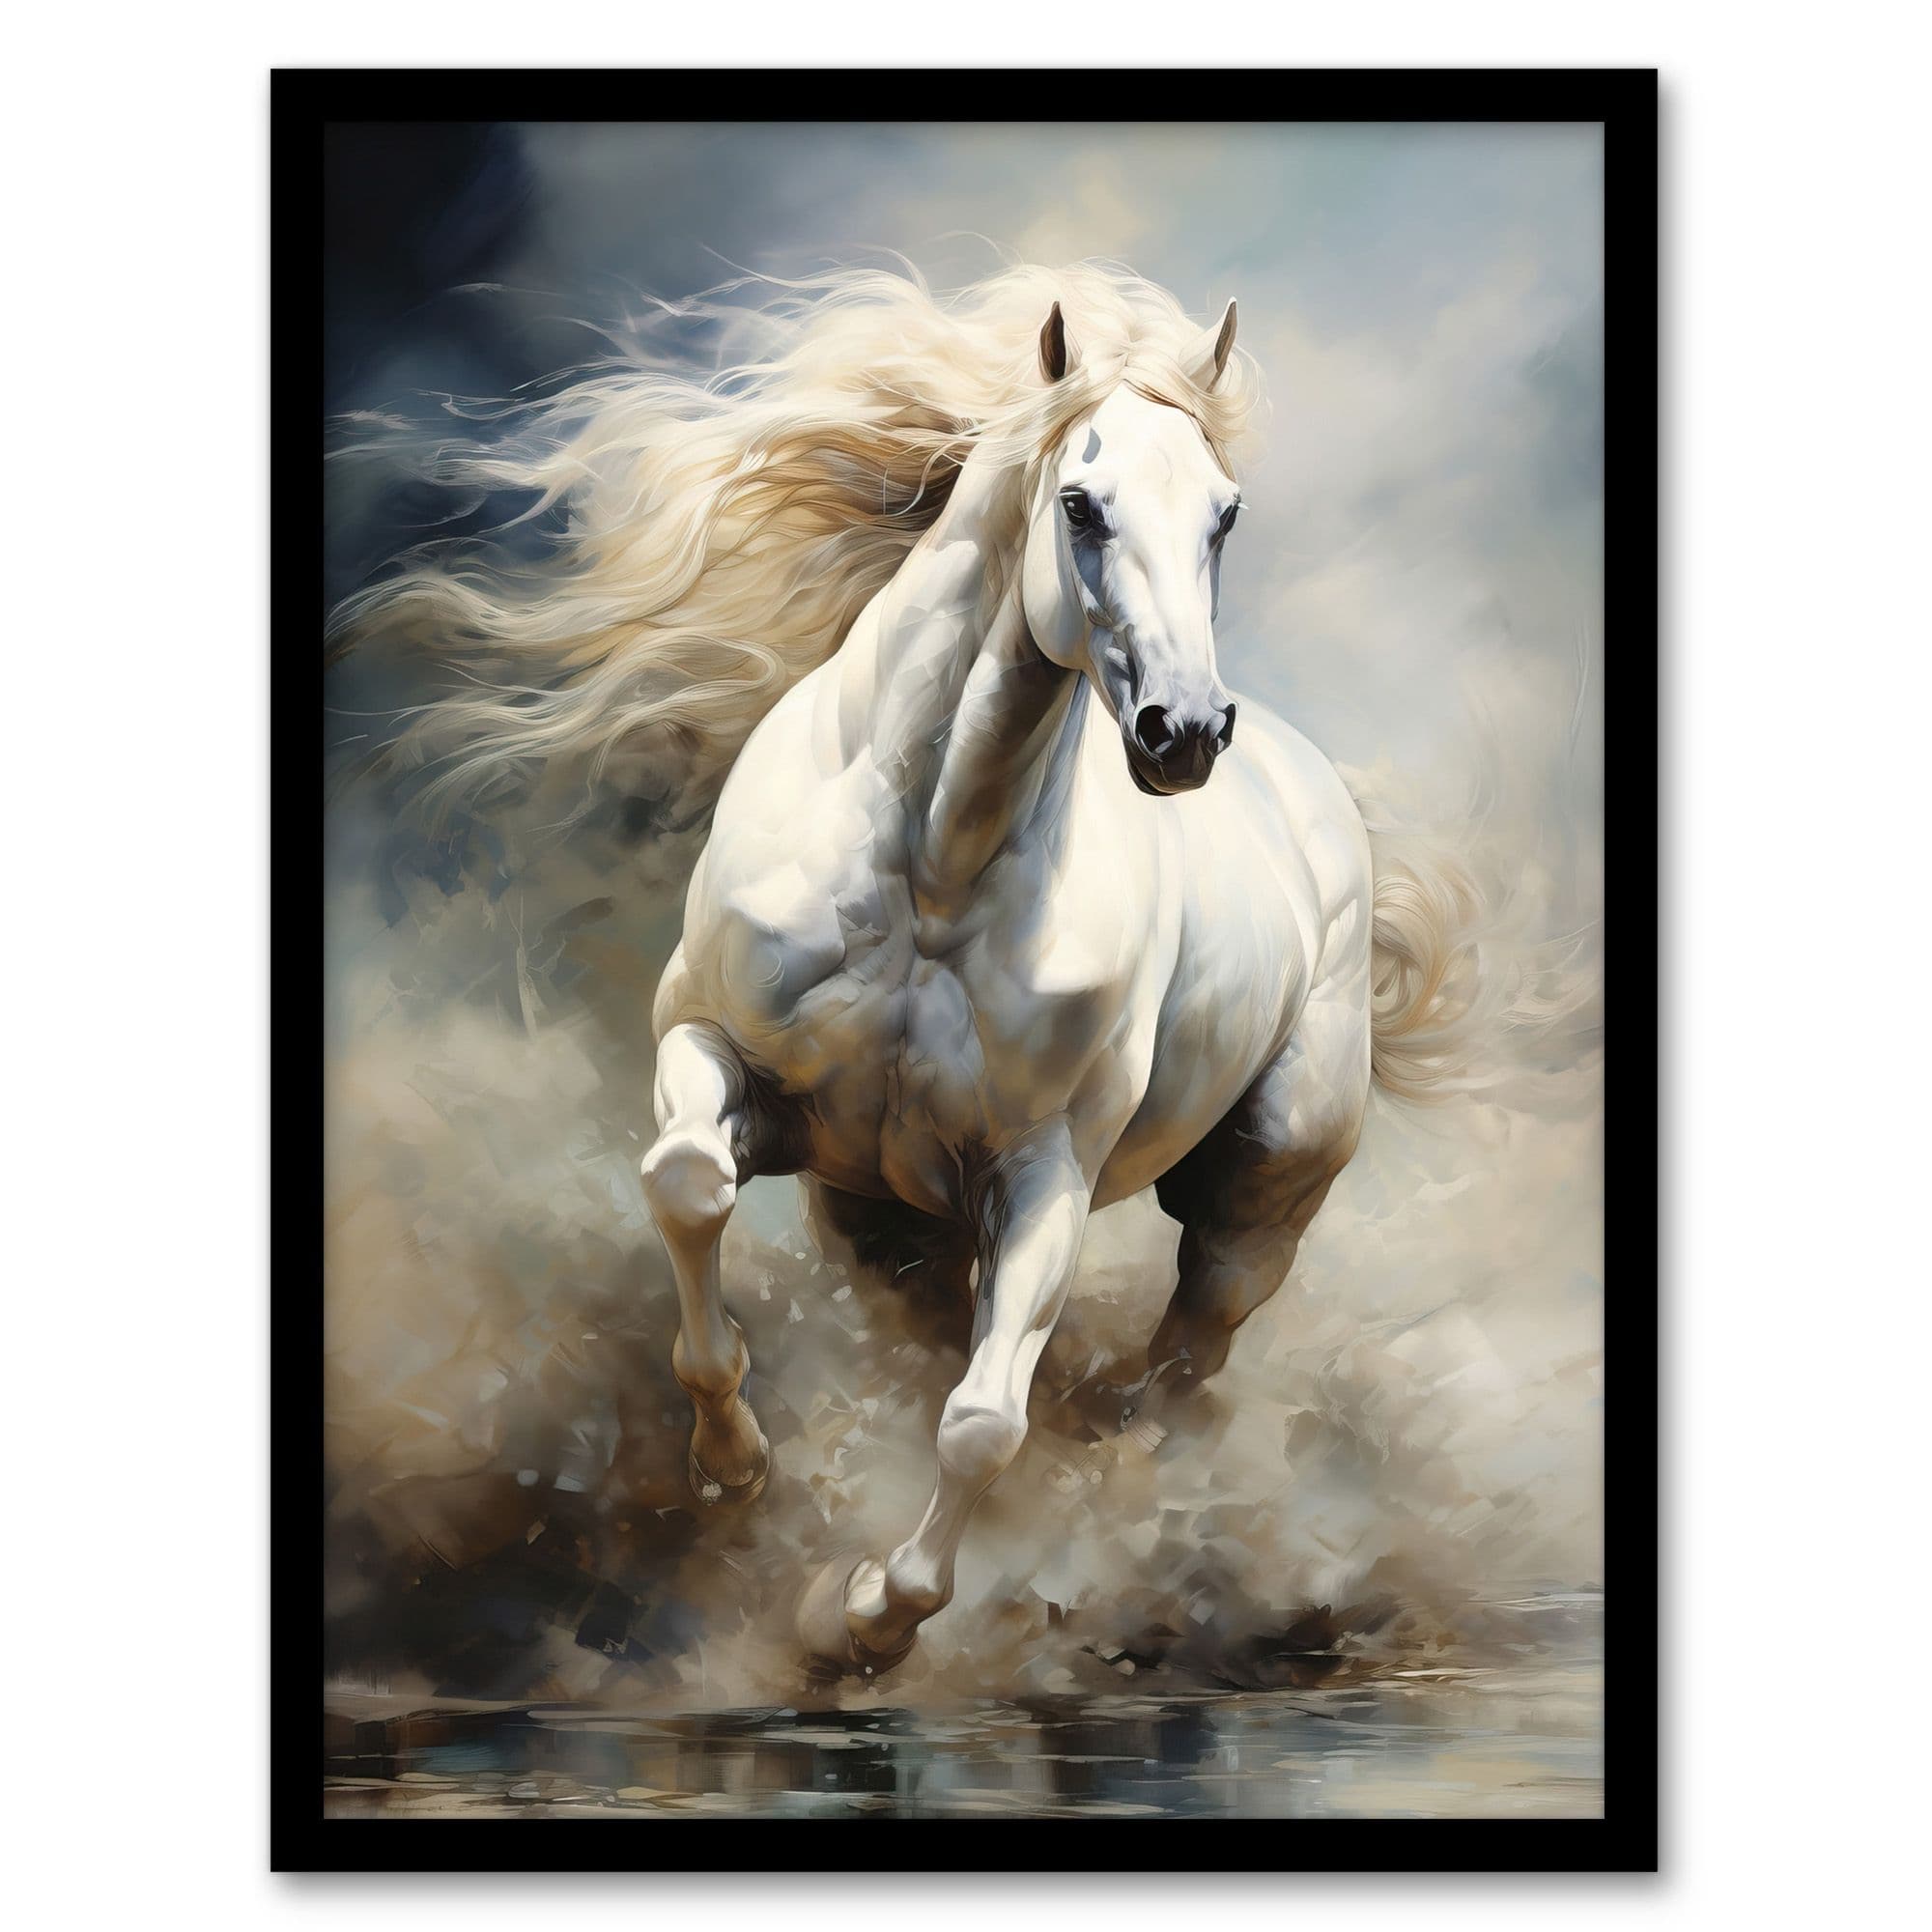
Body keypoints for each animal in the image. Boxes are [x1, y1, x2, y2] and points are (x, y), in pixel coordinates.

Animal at [341, 264, 1481, 1679]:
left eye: (1224, 513)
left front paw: (867, 1619)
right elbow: (685, 1184)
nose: (1182, 732)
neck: (930, 869)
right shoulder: (717, 1056)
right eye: (1080, 505)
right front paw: (733, 1463)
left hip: (1253, 1204)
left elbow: (981, 1420)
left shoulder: (1042, 1177)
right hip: (889, 1222)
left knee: (1177, 1374)